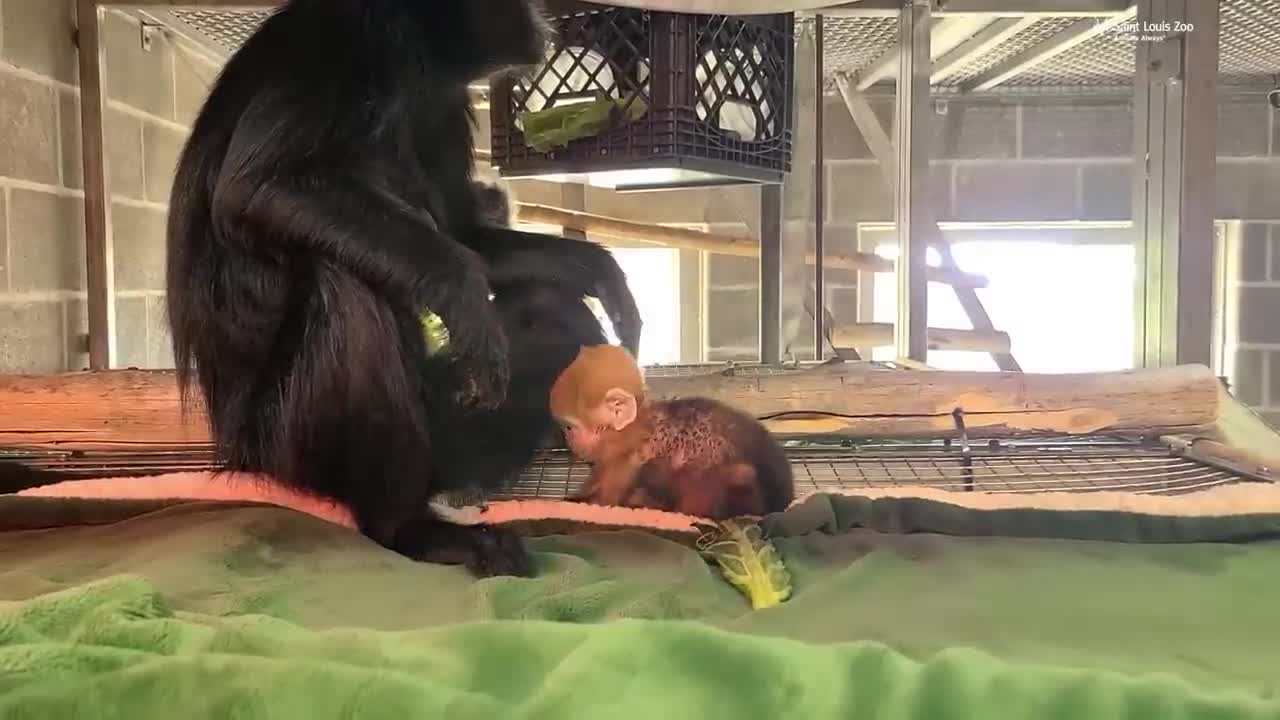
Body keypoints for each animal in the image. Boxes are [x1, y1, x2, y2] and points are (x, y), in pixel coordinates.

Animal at [165, 0, 640, 573]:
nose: (540, 18)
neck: (418, 55)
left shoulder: (443, 97)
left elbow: (466, 235)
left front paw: (602, 270)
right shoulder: (354, 36)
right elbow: (258, 188)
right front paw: (462, 294)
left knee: (547, 304)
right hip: (286, 440)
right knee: (346, 287)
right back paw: (408, 528)